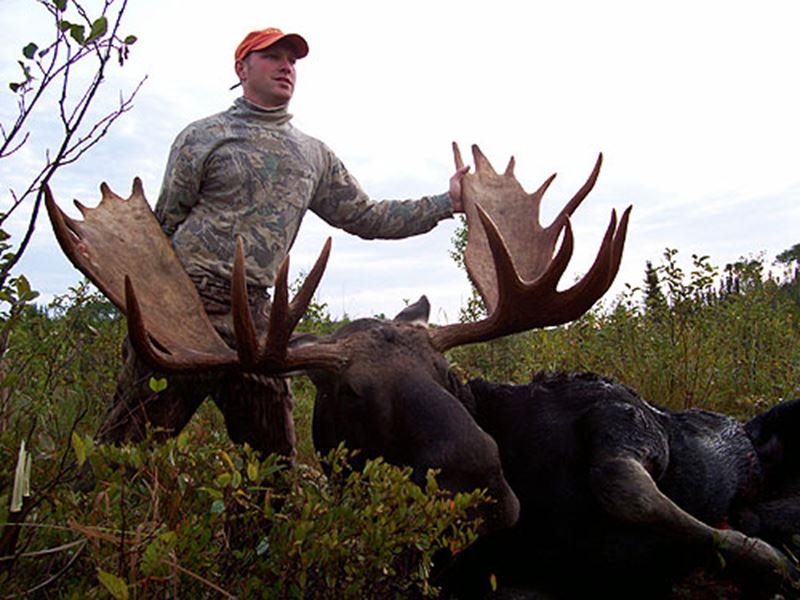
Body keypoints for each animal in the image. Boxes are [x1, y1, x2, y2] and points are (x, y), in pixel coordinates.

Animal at [45, 145, 798, 598]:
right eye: (349, 393)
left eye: (450, 375)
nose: (482, 485)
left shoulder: (624, 411)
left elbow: (624, 478)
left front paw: (764, 555)